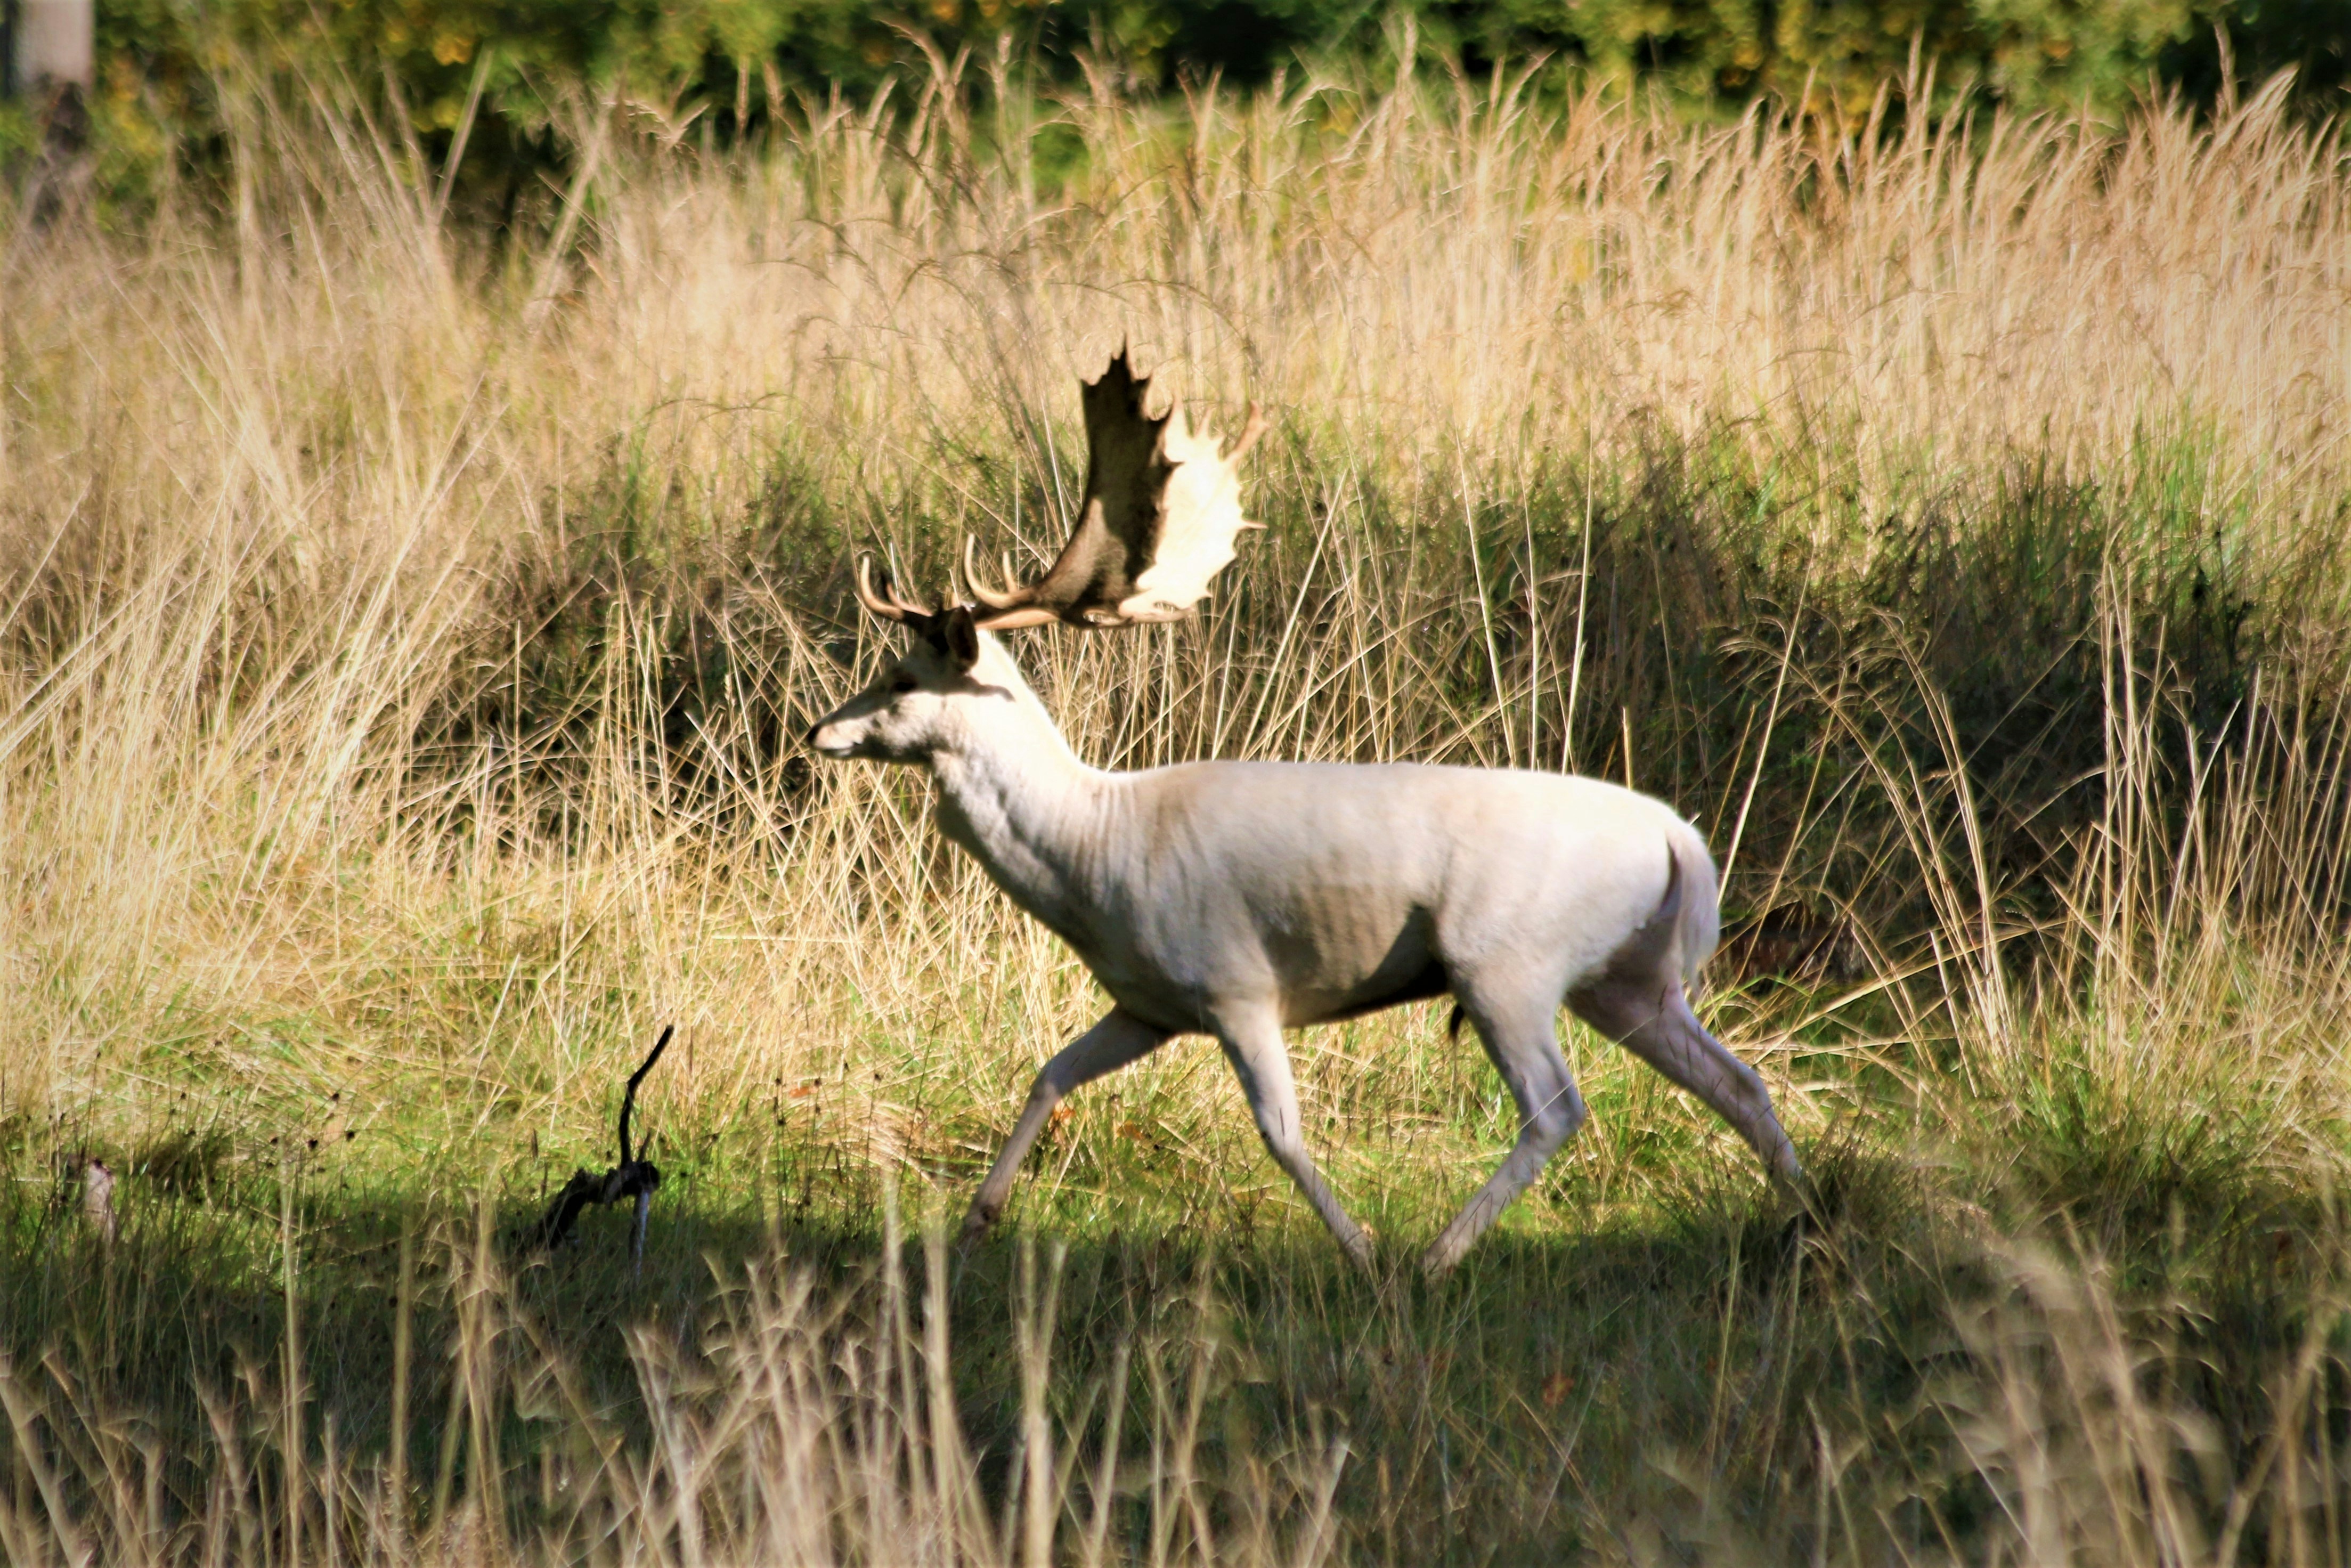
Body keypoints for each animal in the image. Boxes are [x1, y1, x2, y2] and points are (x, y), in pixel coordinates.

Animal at [806, 351, 1805, 1275]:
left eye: (901, 675)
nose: (820, 730)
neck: (1094, 851)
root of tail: (1679, 840)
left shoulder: (1236, 981)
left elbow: (1280, 1132)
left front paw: (1358, 1252)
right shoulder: (1146, 1002)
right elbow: (1049, 1073)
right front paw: (977, 1221)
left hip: (1504, 959)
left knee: (1557, 1107)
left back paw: (1435, 1256)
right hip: (1626, 978)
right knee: (1739, 1082)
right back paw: (1805, 1220)